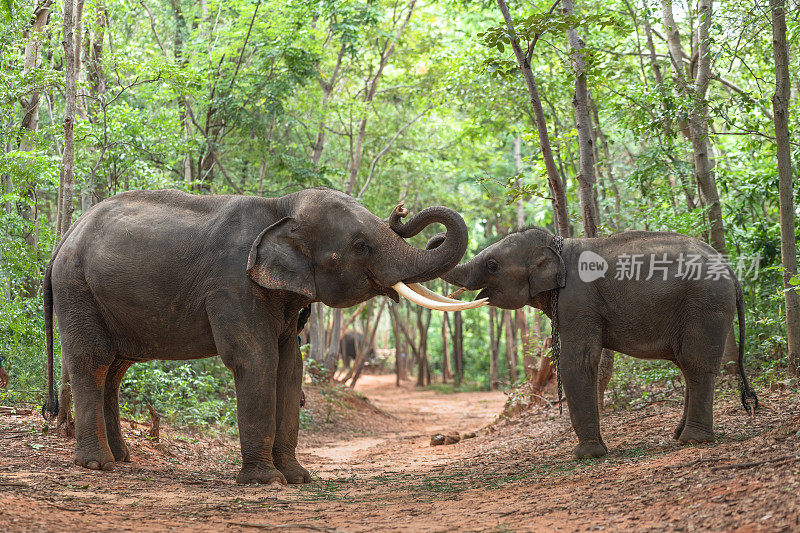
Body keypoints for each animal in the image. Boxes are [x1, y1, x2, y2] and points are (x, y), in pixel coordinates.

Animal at [45, 187, 482, 482]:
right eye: (360, 246)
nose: (401, 211)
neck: (281, 206)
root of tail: (64, 237)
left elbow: (290, 366)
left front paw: (298, 478)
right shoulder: (232, 285)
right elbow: (257, 359)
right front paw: (266, 481)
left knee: (116, 368)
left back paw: (122, 458)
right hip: (77, 289)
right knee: (92, 360)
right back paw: (97, 464)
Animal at [428, 225, 760, 458]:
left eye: (492, 265)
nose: (436, 238)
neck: (559, 245)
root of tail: (731, 270)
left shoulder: (578, 302)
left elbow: (578, 363)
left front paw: (586, 455)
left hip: (705, 304)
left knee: (696, 363)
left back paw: (694, 440)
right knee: (686, 365)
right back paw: (678, 436)